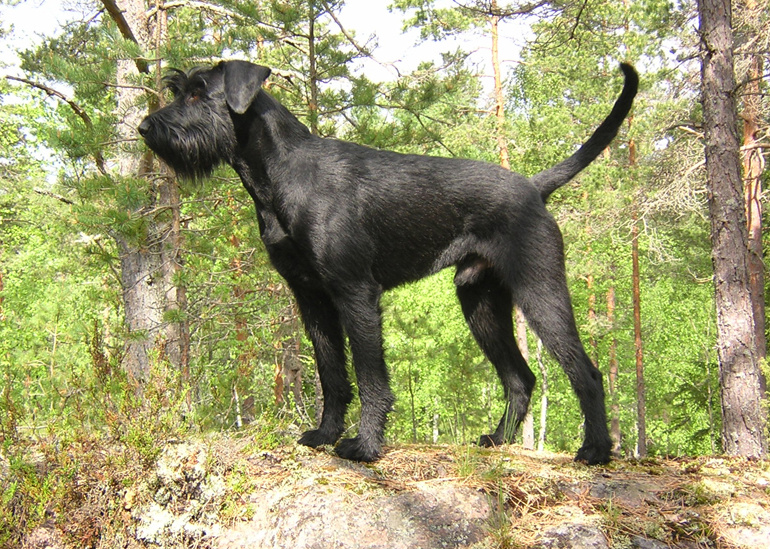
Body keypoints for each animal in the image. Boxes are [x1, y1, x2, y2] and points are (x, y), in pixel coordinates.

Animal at [138, 58, 636, 462]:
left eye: (199, 91)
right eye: (179, 89)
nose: (145, 128)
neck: (283, 173)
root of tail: (533, 187)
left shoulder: (355, 291)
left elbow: (369, 375)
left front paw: (364, 445)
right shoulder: (311, 298)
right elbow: (332, 373)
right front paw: (325, 434)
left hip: (539, 290)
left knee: (586, 371)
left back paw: (595, 451)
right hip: (480, 302)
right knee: (520, 377)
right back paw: (498, 439)